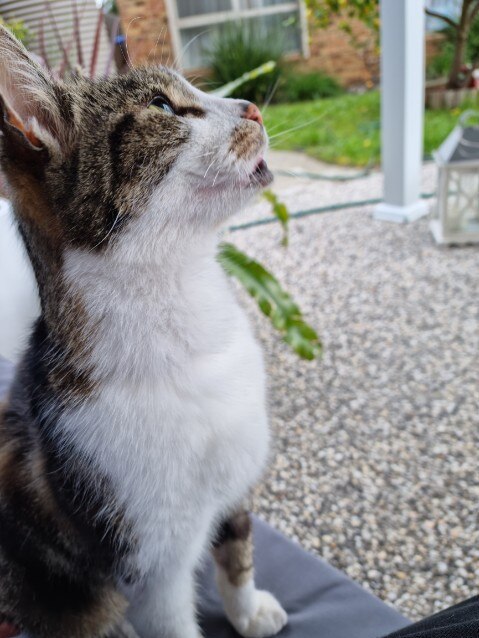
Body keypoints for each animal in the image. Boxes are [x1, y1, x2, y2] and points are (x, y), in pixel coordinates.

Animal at [0, 23, 286, 638]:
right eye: (162, 107)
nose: (251, 106)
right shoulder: (152, 558)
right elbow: (172, 619)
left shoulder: (232, 482)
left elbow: (237, 546)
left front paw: (248, 609)